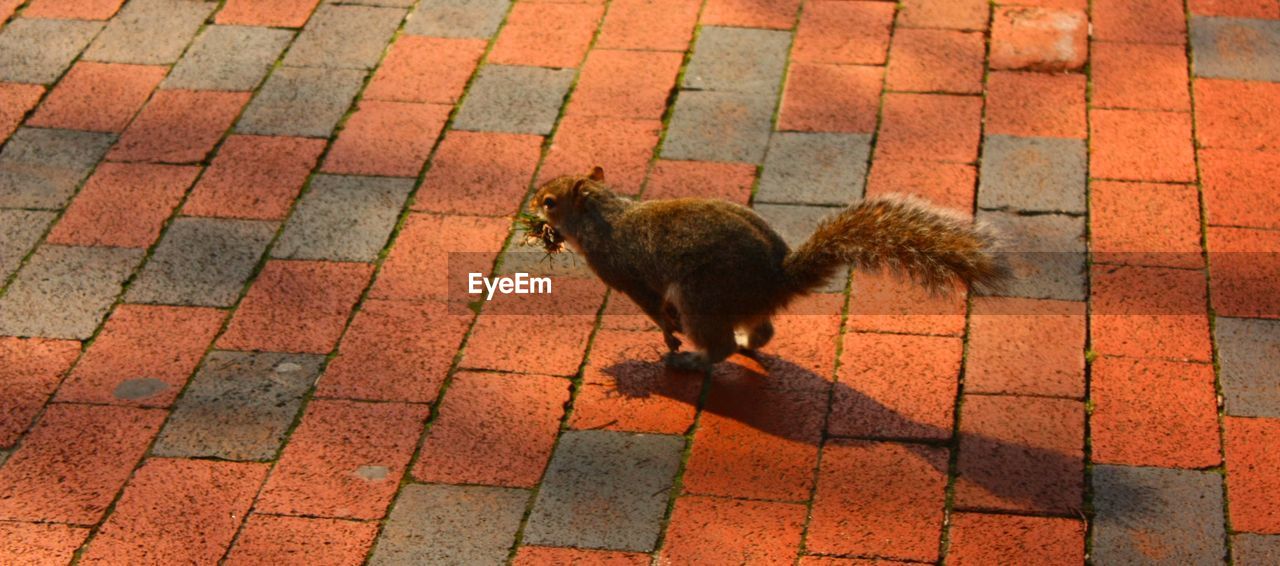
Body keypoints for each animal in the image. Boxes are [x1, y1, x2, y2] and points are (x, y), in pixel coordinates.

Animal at [529, 166, 1008, 371]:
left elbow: (653, 309)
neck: (604, 214)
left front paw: (668, 336)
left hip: (701, 296)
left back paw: (696, 360)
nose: (531, 204)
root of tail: (775, 282)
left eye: (550, 201)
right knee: (763, 330)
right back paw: (747, 342)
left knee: (718, 344)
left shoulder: (624, 275)